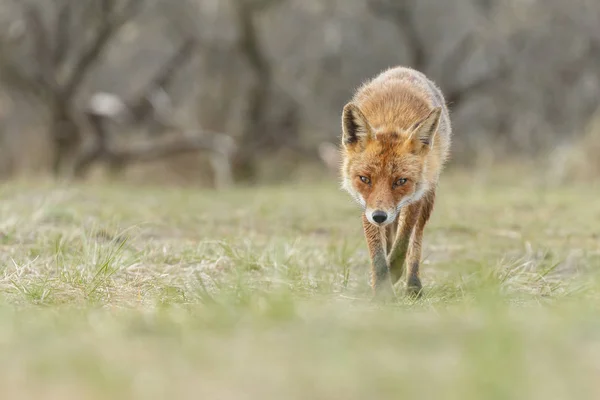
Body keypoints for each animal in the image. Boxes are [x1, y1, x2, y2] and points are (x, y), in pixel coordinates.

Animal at [342, 66, 450, 296]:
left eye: (401, 181)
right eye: (364, 179)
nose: (379, 216)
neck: (392, 120)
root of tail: (403, 68)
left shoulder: (416, 197)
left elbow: (403, 243)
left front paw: (392, 273)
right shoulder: (366, 204)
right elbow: (377, 251)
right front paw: (382, 290)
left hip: (428, 195)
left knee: (415, 239)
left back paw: (413, 284)